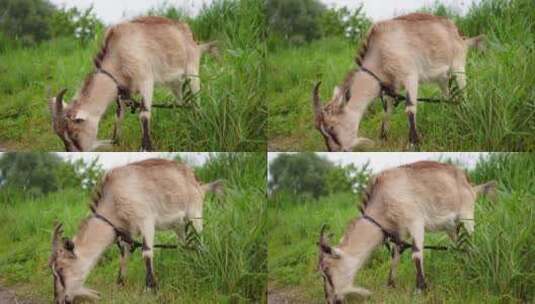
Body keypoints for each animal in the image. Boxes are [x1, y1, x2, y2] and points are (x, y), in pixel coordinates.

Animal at [47, 16, 218, 151]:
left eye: (74, 134)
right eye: (60, 135)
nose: (73, 152)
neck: (119, 54)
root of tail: (190, 34)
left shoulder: (146, 80)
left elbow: (144, 114)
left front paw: (146, 147)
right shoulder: (122, 91)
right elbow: (118, 119)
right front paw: (112, 142)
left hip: (192, 69)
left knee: (196, 100)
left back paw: (198, 121)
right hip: (174, 82)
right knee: (181, 102)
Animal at [48, 158, 224, 302]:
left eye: (60, 269)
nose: (59, 299)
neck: (114, 198)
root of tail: (198, 183)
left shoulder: (146, 220)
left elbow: (146, 253)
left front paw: (150, 289)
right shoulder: (126, 231)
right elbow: (124, 254)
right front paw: (119, 285)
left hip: (195, 214)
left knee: (199, 241)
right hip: (178, 225)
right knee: (184, 245)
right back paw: (185, 268)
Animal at [314, 13, 486, 151]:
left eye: (331, 128)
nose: (335, 151)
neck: (381, 52)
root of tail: (459, 33)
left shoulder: (410, 75)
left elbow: (410, 109)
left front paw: (414, 143)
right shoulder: (389, 86)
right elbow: (387, 111)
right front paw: (383, 138)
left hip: (458, 65)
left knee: (463, 93)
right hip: (441, 78)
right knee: (448, 96)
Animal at [316, 160, 496, 302]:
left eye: (326, 271)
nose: (330, 300)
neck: (384, 199)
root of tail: (470, 184)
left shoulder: (415, 221)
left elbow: (416, 254)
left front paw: (420, 289)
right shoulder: (398, 232)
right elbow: (395, 255)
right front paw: (390, 285)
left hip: (467, 214)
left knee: (471, 240)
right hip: (451, 226)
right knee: (459, 244)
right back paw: (462, 266)